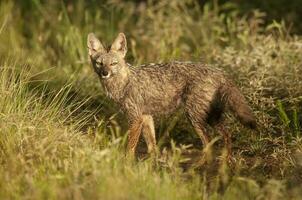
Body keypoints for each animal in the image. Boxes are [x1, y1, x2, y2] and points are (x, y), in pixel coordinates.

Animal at [86, 32, 255, 157]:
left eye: (113, 63)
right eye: (99, 63)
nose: (105, 73)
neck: (122, 84)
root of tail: (219, 71)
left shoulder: (135, 118)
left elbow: (130, 148)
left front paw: (127, 166)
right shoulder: (146, 117)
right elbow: (152, 147)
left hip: (195, 118)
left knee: (208, 145)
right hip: (211, 118)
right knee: (227, 136)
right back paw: (226, 162)